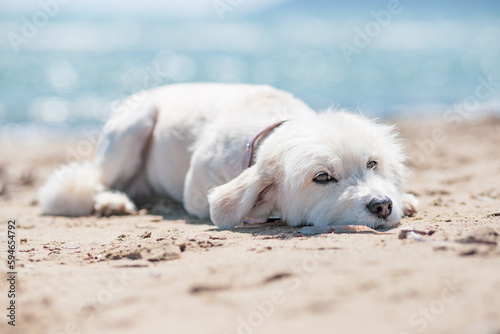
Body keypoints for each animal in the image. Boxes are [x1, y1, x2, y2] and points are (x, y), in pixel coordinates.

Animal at [38, 84, 418, 230]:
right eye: (322, 177)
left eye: (372, 163)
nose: (383, 205)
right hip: (133, 127)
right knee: (88, 183)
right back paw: (111, 201)